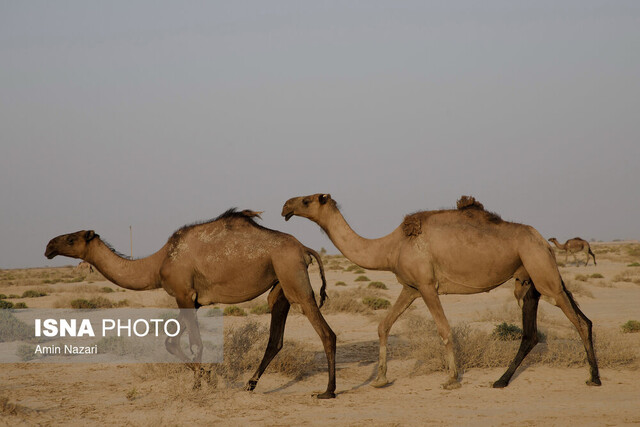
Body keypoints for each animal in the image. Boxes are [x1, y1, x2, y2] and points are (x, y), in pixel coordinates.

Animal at [44, 209, 338, 400]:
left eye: (71, 239)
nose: (48, 246)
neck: (157, 263)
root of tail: (305, 248)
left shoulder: (183, 294)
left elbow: (194, 342)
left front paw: (201, 382)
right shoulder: (192, 300)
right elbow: (171, 342)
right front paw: (205, 376)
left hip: (293, 275)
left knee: (326, 332)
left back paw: (327, 391)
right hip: (280, 283)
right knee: (275, 337)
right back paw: (250, 384)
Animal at [282, 194, 600, 392]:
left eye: (307, 200)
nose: (285, 206)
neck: (390, 247)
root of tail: (544, 242)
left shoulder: (426, 286)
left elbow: (445, 329)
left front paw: (451, 379)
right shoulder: (409, 287)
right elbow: (384, 325)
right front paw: (381, 379)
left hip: (541, 270)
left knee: (578, 320)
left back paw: (594, 378)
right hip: (529, 278)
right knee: (537, 331)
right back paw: (500, 381)